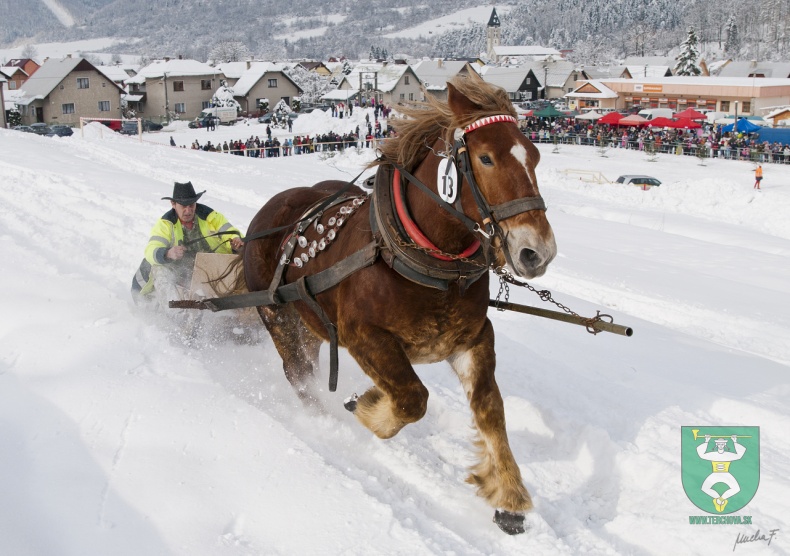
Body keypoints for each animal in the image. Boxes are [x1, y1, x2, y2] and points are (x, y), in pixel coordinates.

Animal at [241, 75, 556, 536]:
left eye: (534, 156)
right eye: (485, 158)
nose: (538, 252)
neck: (426, 260)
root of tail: (269, 211)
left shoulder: (472, 339)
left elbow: (490, 408)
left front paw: (509, 495)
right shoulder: (362, 336)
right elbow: (412, 398)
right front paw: (368, 407)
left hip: (310, 325)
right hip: (278, 316)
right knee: (298, 375)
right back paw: (322, 421)